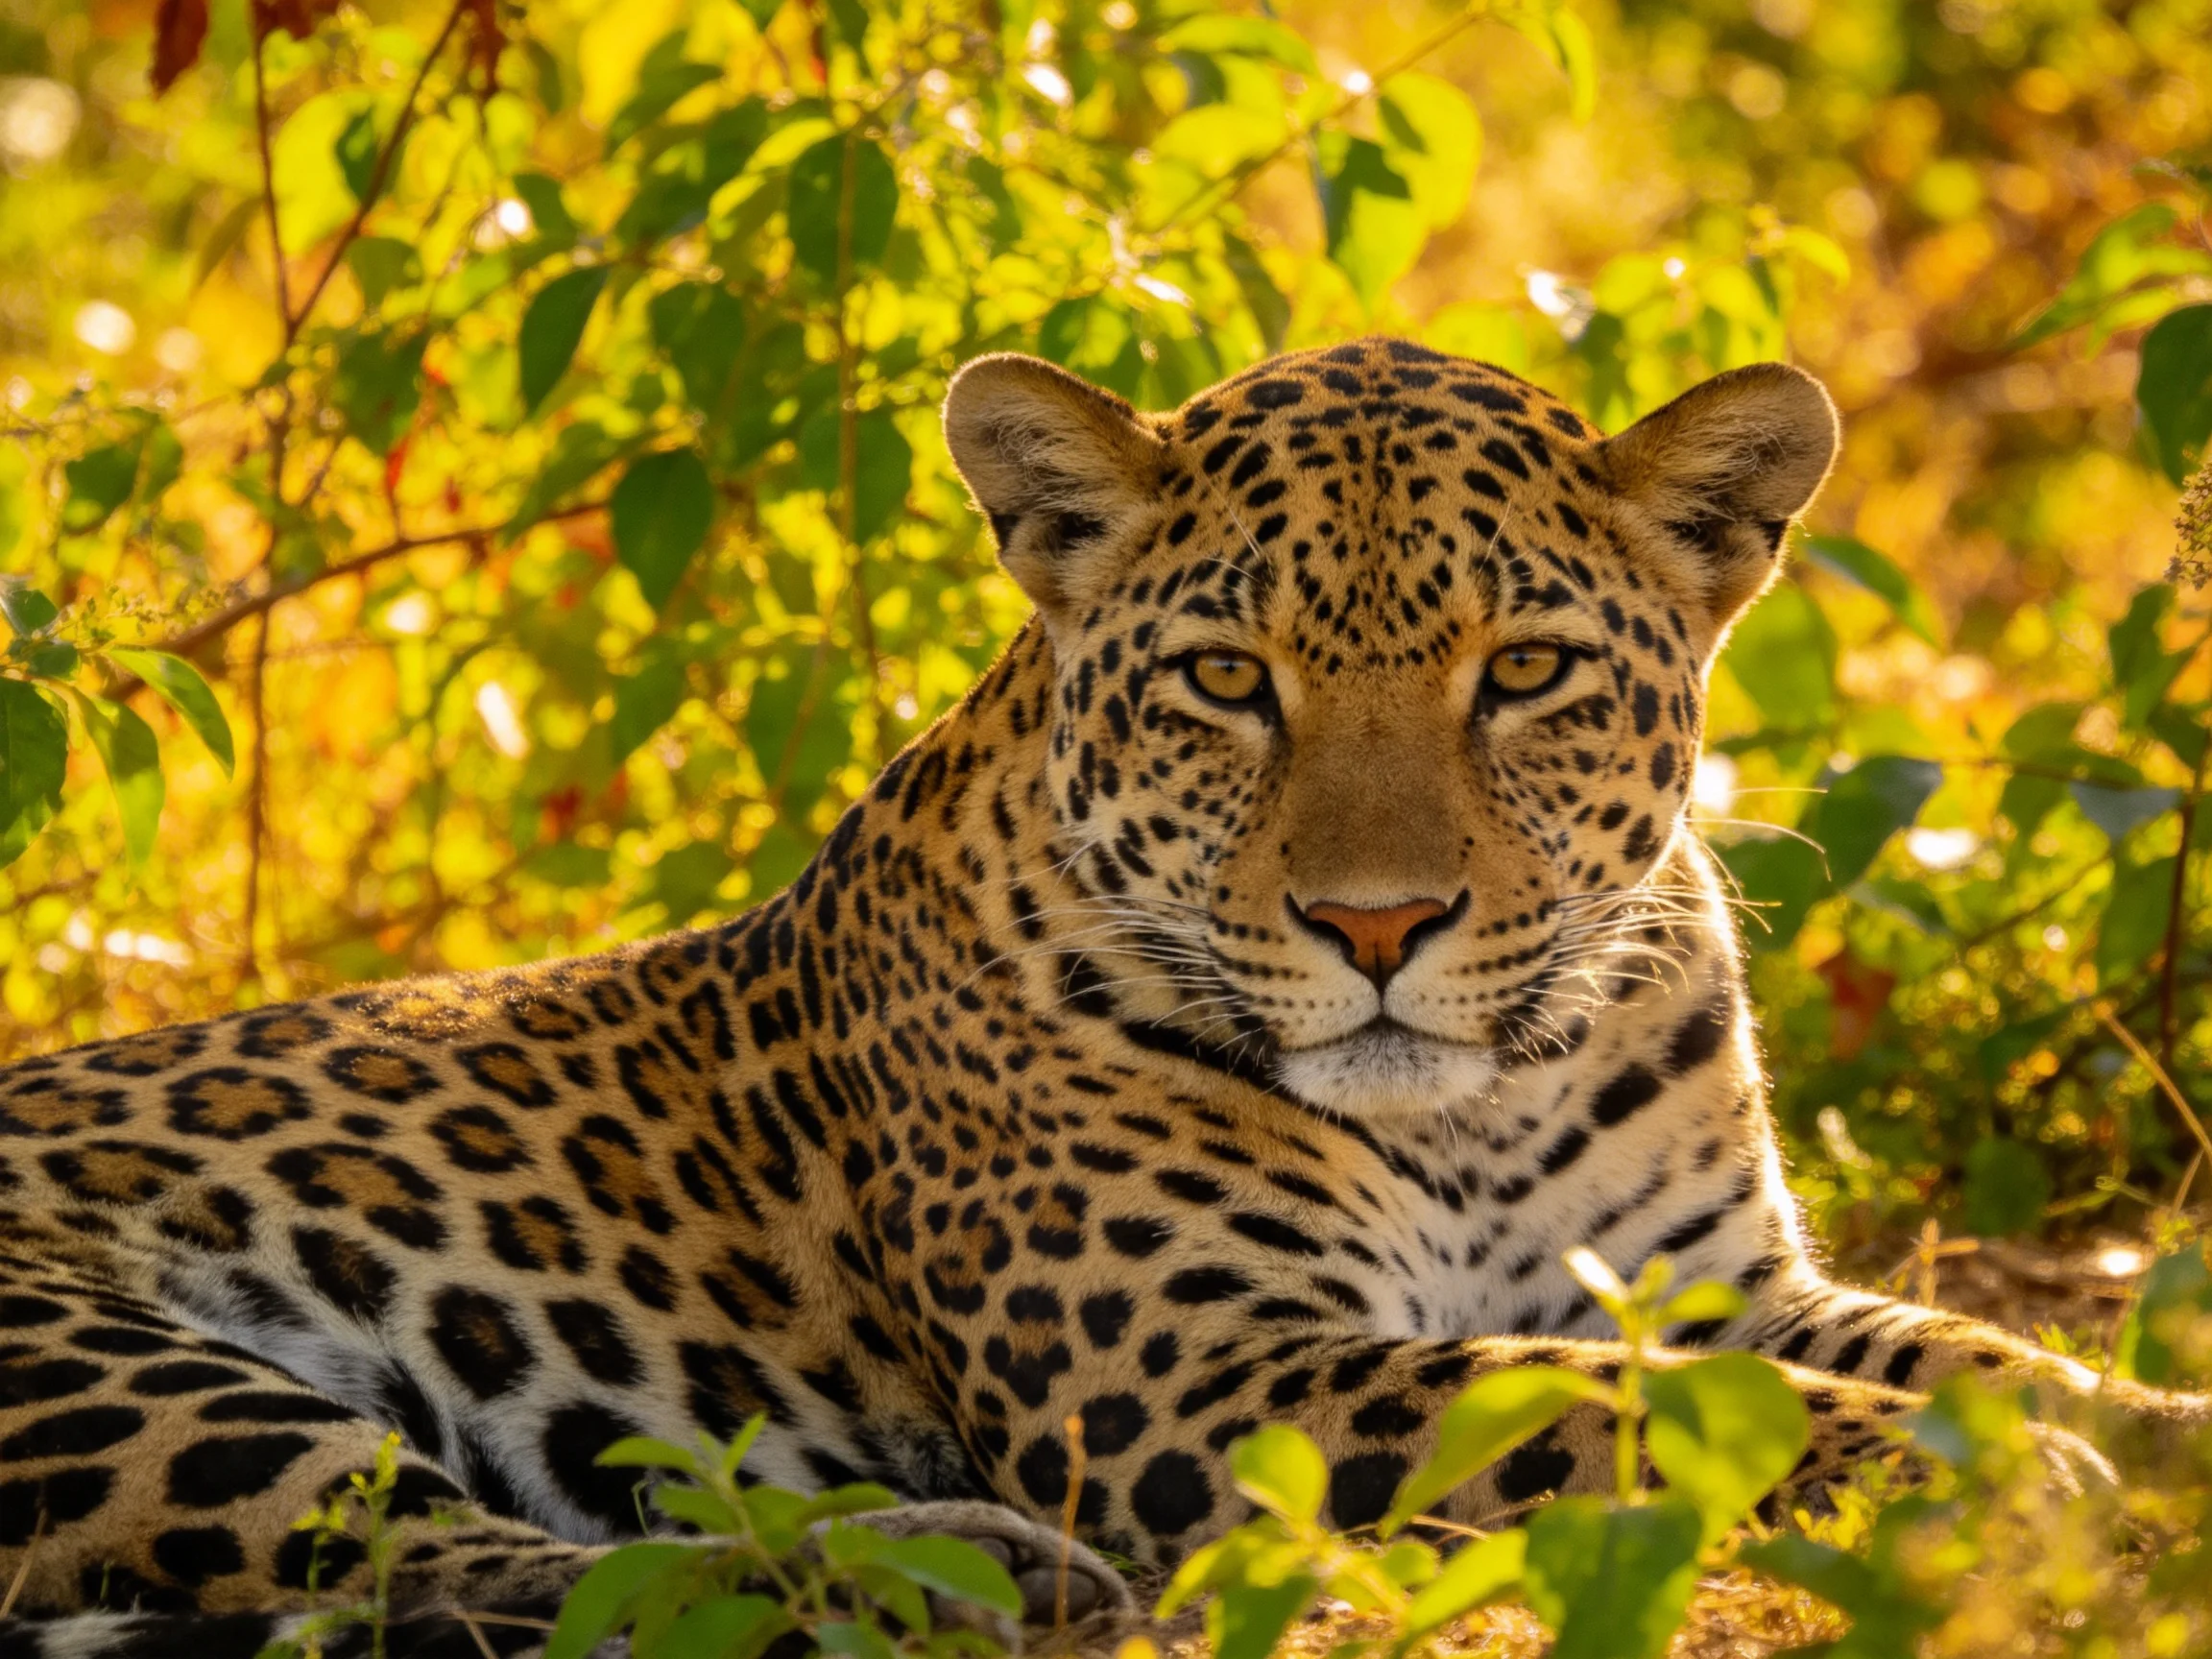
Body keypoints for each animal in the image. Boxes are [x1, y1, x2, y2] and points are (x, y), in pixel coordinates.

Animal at [2, 336, 2205, 1656]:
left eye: (1523, 674)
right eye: (1230, 680)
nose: (1379, 925)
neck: (1476, 1105)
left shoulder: (1721, 1278)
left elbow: (1986, 1358)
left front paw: (2129, 1431)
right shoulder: (1198, 1382)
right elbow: (1598, 1407)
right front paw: (1985, 1491)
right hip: (121, 1369)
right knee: (441, 1568)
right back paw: (968, 1568)